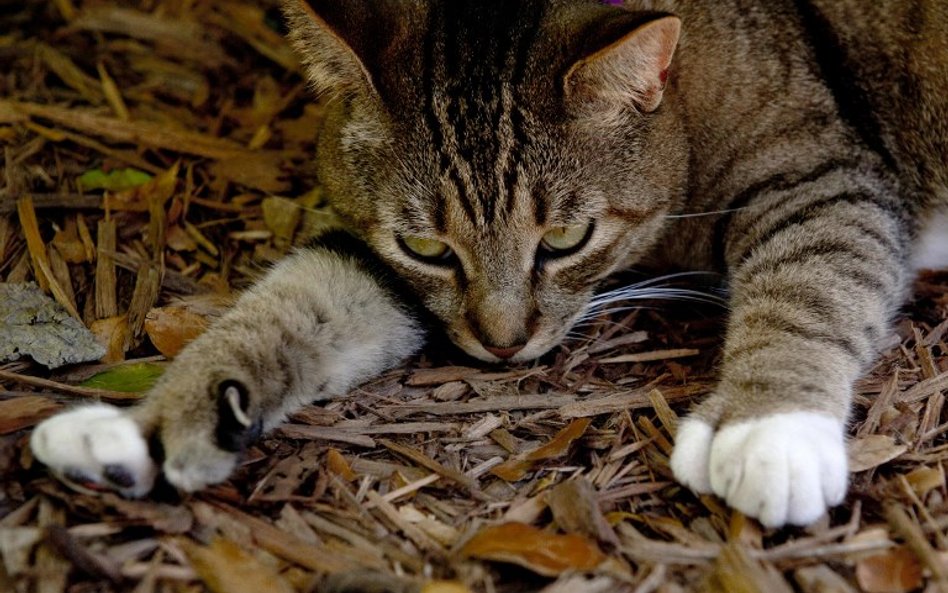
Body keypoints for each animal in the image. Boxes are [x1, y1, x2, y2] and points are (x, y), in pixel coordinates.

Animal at [31, 0, 948, 528]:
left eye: (566, 239)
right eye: (429, 249)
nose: (503, 344)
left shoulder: (823, 175)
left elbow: (810, 282)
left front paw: (769, 427)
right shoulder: (383, 263)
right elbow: (295, 299)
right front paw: (149, 424)